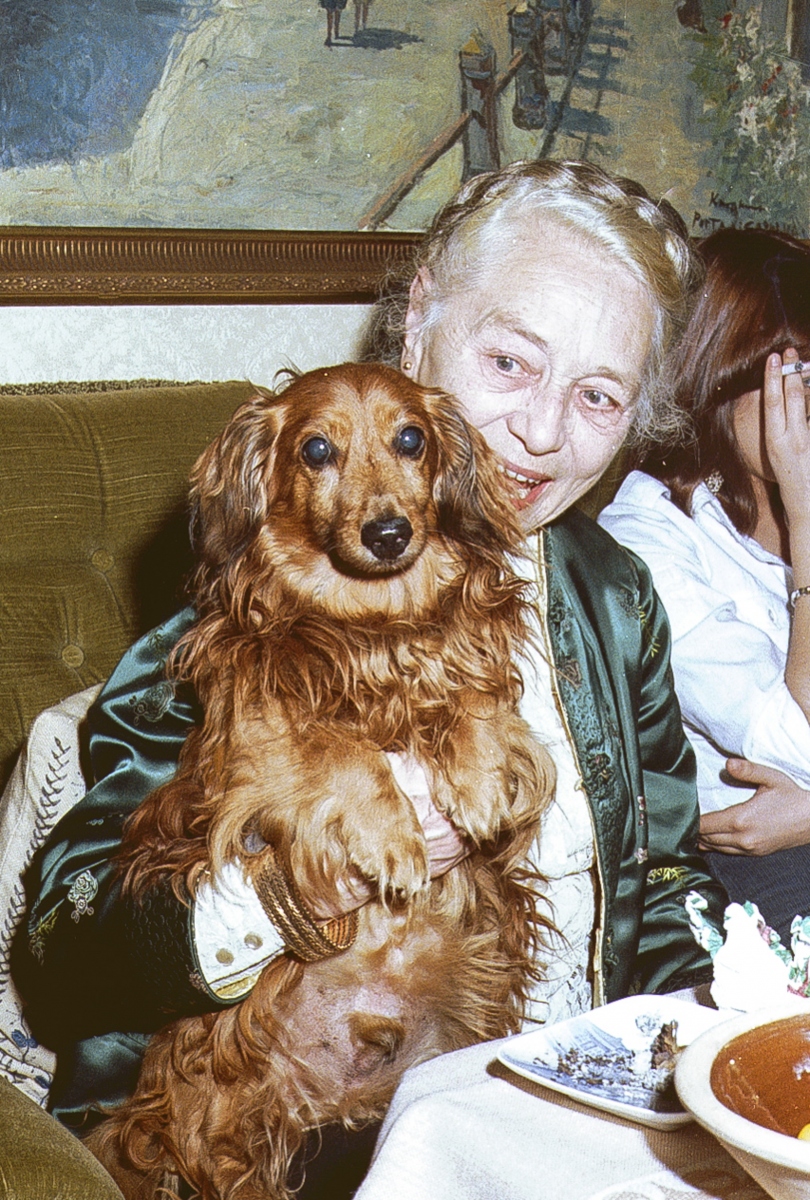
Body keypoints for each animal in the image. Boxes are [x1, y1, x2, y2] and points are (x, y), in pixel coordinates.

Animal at [86, 363, 554, 1200]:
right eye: (315, 450)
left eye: (411, 439)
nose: (389, 533)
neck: (374, 631)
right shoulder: (254, 743)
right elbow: (340, 751)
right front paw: (394, 836)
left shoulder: (465, 670)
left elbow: (475, 704)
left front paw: (477, 771)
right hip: (225, 1108)